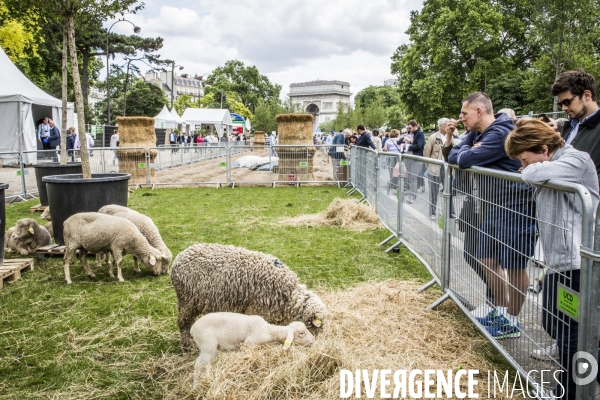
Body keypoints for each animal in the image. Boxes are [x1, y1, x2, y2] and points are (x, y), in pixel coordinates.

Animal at [144, 280, 506, 398]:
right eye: (305, 331)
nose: (316, 345)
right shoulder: (251, 341)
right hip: (203, 338)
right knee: (198, 365)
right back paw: (197, 383)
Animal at [169, 242, 328, 352]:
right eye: (312, 328)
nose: (315, 343)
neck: (288, 296)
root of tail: (179, 258)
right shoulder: (257, 310)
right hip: (187, 301)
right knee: (183, 324)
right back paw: (187, 346)